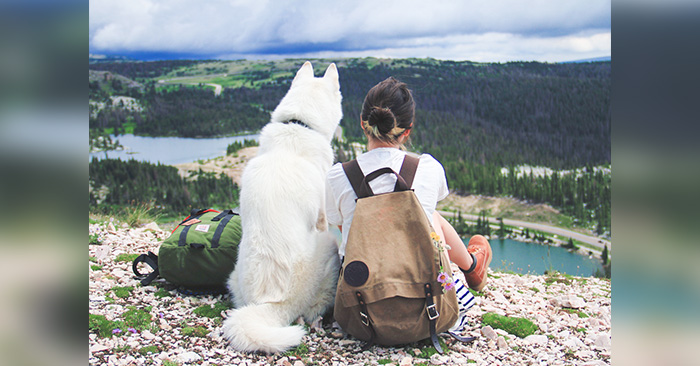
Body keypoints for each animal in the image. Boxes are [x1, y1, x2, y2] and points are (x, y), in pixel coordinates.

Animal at [223, 61, 344, 354]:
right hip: (328, 249)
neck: (299, 126)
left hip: (234, 274)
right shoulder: (322, 216)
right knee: (311, 311)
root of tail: (271, 303)